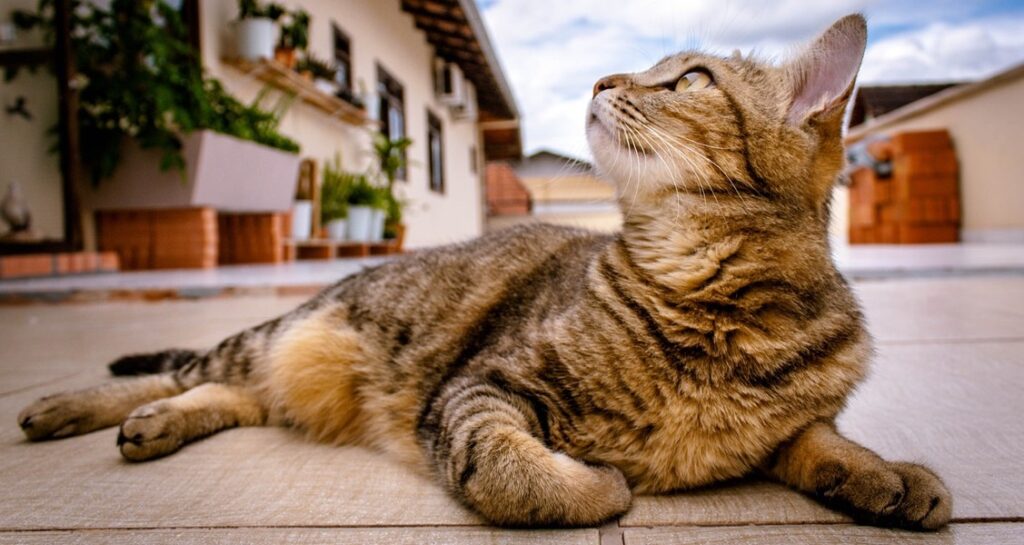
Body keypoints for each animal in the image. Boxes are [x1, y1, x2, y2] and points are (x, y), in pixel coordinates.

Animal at [18, 12, 950, 528]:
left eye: (688, 79)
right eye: (662, 71)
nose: (602, 77)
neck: (713, 303)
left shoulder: (793, 427)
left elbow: (822, 438)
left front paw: (890, 476)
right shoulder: (482, 386)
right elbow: (507, 470)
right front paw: (599, 485)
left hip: (283, 372)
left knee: (231, 394)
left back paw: (157, 424)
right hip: (283, 332)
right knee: (182, 369)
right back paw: (71, 408)